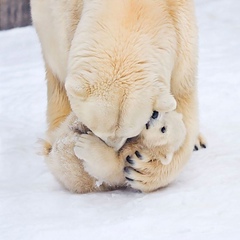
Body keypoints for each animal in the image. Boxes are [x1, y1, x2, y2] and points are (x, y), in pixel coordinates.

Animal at [31, 0, 204, 192]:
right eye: (97, 130)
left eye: (129, 134)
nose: (113, 148)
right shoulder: (67, 18)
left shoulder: (180, 31)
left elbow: (182, 101)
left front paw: (143, 168)